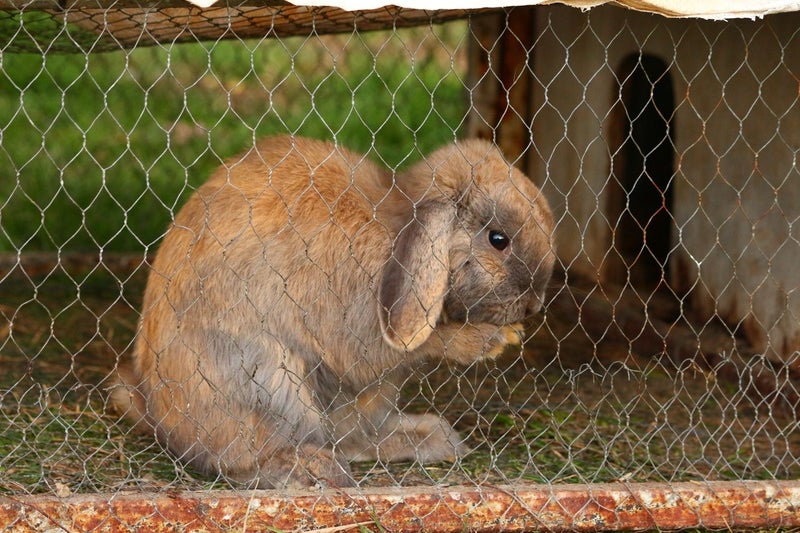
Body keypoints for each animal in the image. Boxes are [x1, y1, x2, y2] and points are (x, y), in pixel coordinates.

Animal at [113, 134, 555, 489]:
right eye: (498, 239)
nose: (533, 304)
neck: (396, 229)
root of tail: (157, 412)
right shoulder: (360, 330)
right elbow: (406, 345)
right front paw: (491, 339)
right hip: (267, 378)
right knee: (242, 458)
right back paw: (310, 470)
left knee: (351, 437)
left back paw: (431, 438)